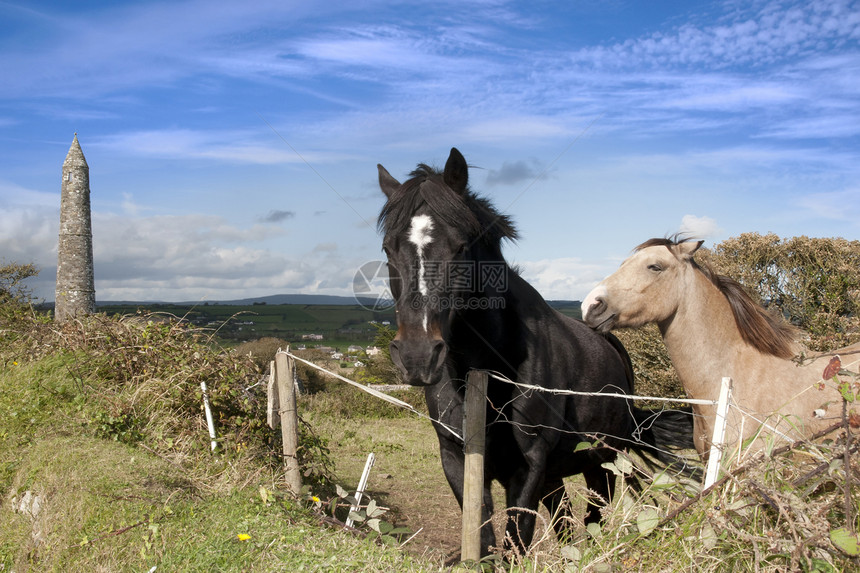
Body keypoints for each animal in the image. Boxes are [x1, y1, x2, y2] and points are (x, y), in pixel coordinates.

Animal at [376, 147, 692, 556]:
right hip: (557, 474)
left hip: (602, 461)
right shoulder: (458, 459)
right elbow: (483, 540)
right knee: (564, 520)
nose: (417, 356)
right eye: (388, 248)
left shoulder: (527, 467)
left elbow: (516, 544)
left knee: (592, 518)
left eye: (461, 246)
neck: (484, 372)